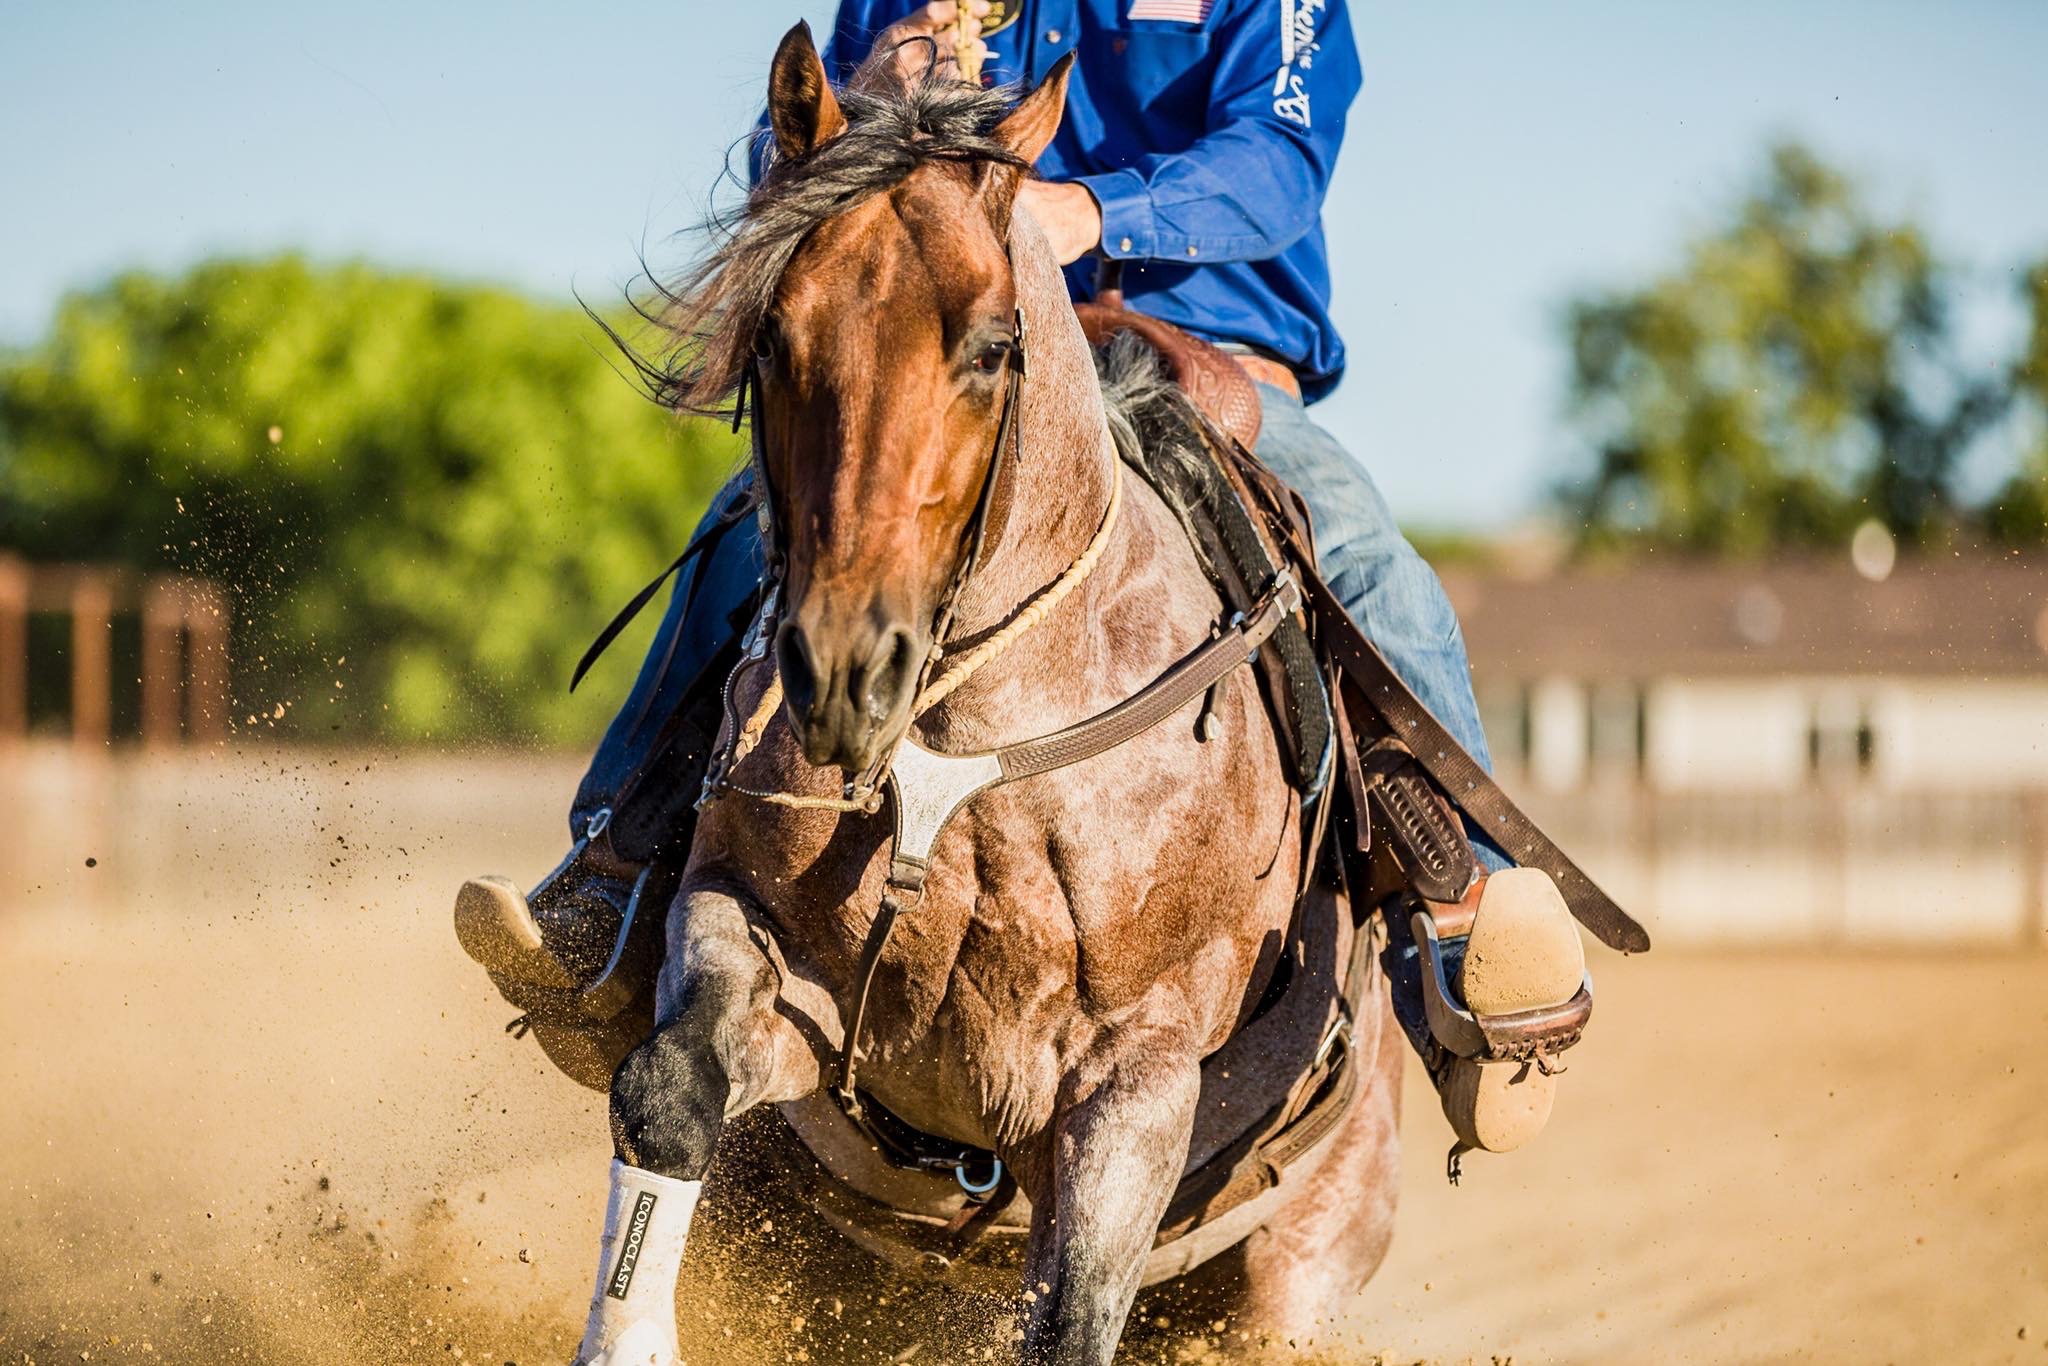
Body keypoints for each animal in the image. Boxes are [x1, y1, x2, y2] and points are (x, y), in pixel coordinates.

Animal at [577, 24, 1409, 1366]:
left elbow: (1069, 1319)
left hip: (1296, 1273)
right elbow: (666, 1092)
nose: (844, 669)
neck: (966, 749)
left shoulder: (1132, 1085)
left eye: (990, 346)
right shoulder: (749, 935)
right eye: (774, 338)